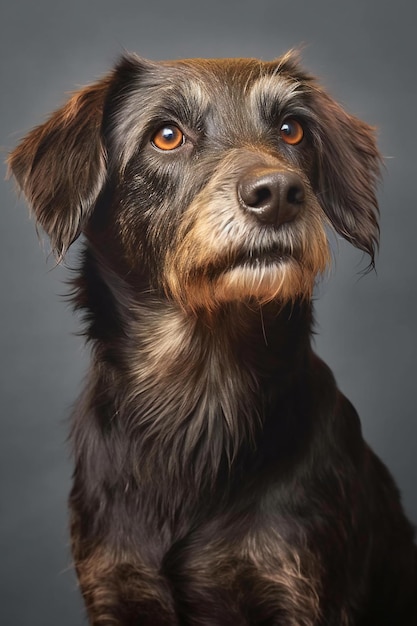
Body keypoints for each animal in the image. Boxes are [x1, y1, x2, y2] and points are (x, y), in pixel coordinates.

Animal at [9, 51, 416, 620]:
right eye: (166, 136)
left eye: (291, 130)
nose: (279, 193)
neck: (201, 387)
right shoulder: (114, 583)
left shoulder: (296, 585)